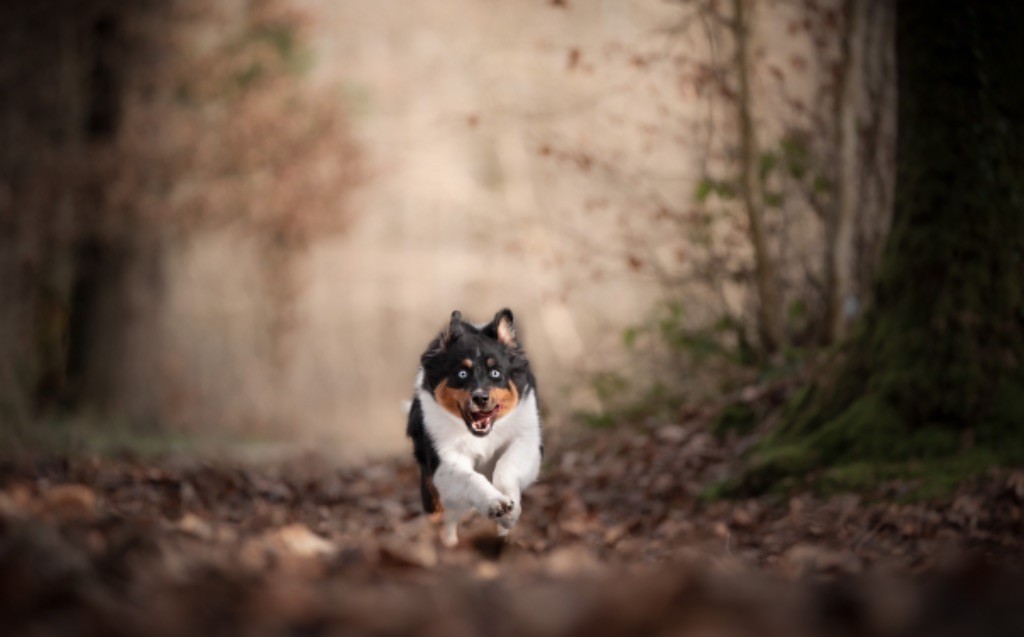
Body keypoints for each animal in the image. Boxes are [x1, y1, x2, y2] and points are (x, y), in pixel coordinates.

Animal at [405, 311, 544, 548]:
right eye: (462, 373)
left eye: (496, 373)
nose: (480, 398)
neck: (482, 435)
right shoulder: (442, 463)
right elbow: (471, 477)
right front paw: (496, 504)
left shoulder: (527, 441)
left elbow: (506, 465)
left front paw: (509, 512)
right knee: (445, 518)